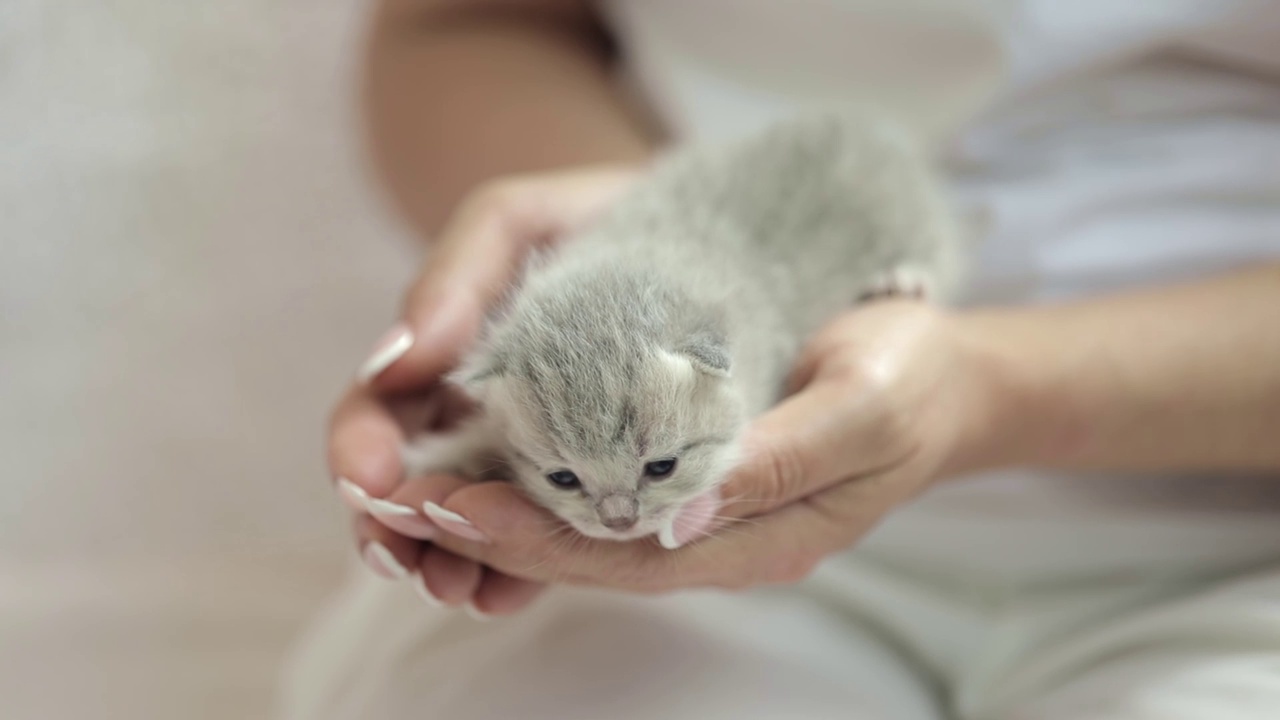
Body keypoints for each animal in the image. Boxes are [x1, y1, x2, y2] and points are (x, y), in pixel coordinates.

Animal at [399, 107, 962, 543]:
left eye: (662, 468)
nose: (618, 522)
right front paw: (449, 451)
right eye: (562, 478)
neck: (649, 257)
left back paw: (904, 281)